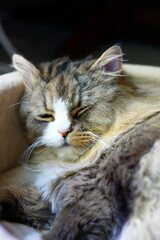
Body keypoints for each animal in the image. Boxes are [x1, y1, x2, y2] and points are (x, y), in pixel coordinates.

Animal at [0, 45, 160, 240]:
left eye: (82, 110)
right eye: (46, 116)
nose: (63, 132)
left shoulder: (88, 202)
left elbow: (55, 233)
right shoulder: (49, 198)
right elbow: (15, 197)